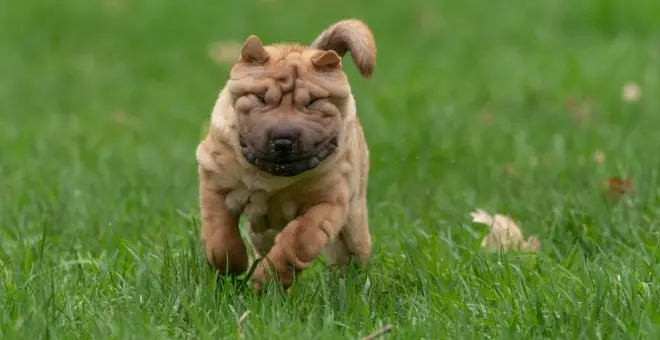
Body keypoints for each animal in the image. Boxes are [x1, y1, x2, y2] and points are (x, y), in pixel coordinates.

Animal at [195, 18, 376, 290]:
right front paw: (231, 267)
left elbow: (298, 242)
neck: (273, 178)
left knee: (351, 253)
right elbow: (221, 235)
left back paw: (350, 285)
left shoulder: (328, 201)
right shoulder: (214, 179)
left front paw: (267, 281)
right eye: (261, 99)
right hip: (262, 229)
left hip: (354, 221)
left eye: (311, 103)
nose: (282, 140)